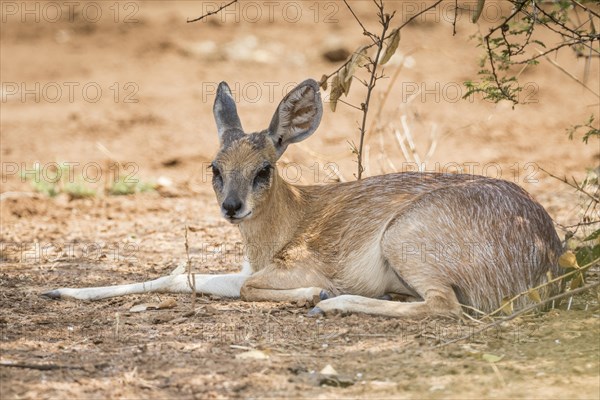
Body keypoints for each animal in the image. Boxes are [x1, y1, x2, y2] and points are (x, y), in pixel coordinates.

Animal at [44, 79, 564, 318]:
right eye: (215, 168)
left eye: (264, 169)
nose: (232, 207)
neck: (284, 227)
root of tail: (548, 257)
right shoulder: (246, 270)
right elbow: (180, 277)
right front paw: (59, 290)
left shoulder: (292, 268)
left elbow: (247, 288)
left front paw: (317, 293)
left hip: (406, 242)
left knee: (443, 305)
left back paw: (332, 303)